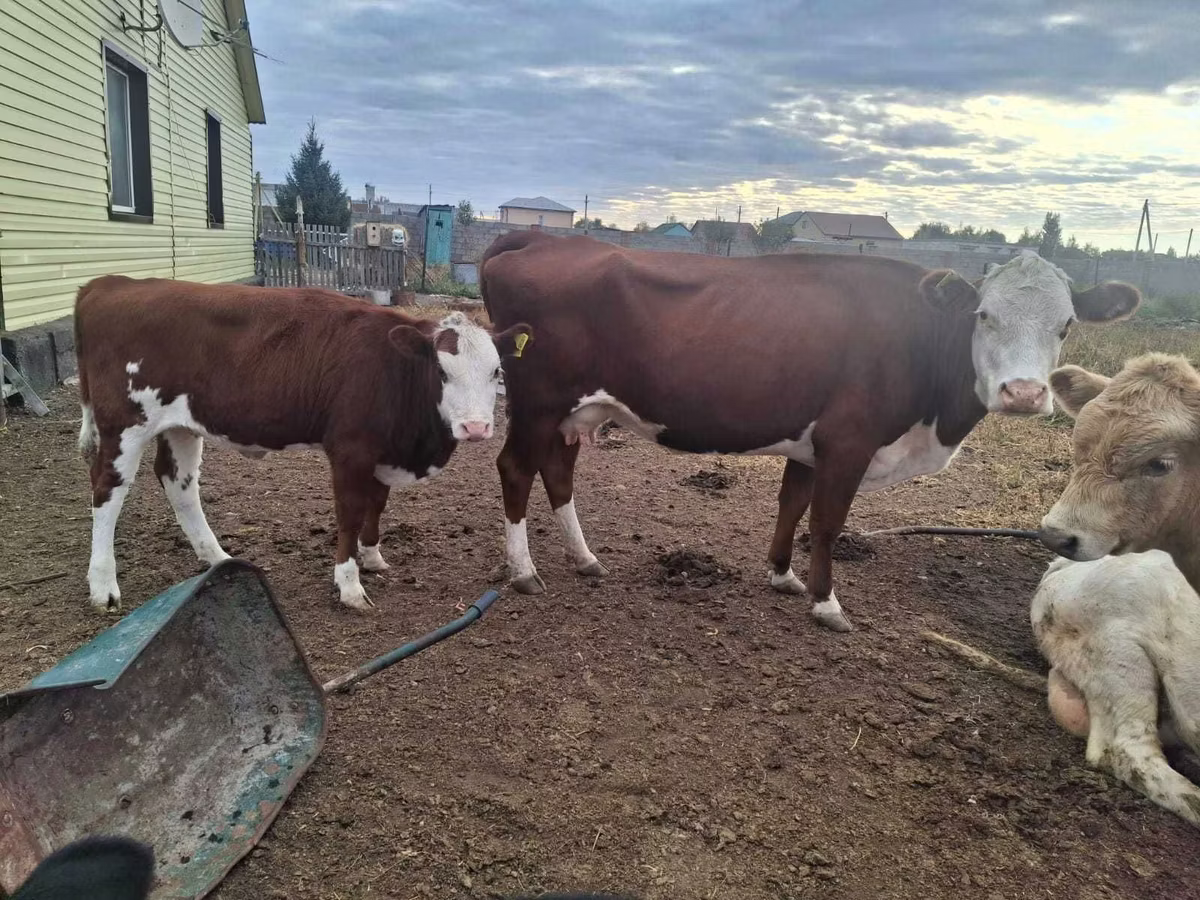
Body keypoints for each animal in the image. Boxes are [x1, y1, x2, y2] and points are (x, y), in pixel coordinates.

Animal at [74, 275, 530, 612]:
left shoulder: (380, 450)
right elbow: (350, 513)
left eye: (496, 372)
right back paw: (103, 585)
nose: (475, 427)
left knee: (178, 484)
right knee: (107, 490)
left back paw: (217, 557)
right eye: (441, 371)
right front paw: (349, 585)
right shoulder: (349, 449)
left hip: (180, 426)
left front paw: (372, 557)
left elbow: (377, 503)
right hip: (125, 425)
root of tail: (111, 282)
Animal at [479, 231, 1139, 632]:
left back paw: (584, 558)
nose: (1023, 393)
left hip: (575, 411)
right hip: (538, 402)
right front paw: (827, 602)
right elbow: (825, 522)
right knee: (515, 469)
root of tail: (544, 236)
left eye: (1066, 324)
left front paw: (782, 575)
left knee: (557, 472)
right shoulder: (849, 440)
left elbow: (791, 504)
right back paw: (523, 571)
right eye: (984, 315)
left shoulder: (811, 443)